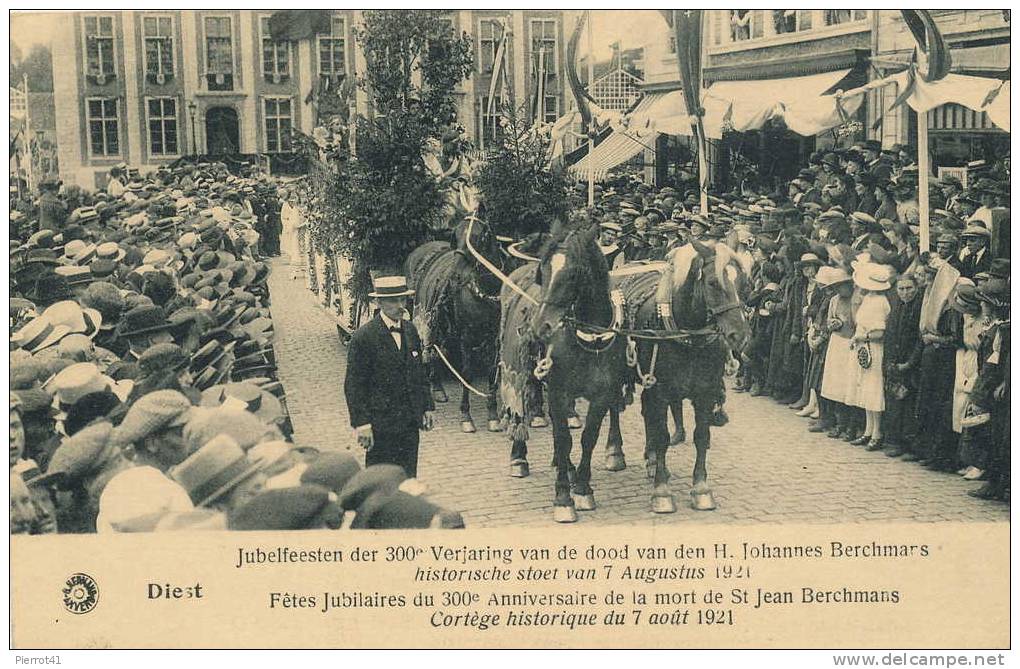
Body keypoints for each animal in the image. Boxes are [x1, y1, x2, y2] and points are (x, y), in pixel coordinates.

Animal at [495, 221, 628, 522]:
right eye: (543, 272)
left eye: (574, 272)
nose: (540, 326)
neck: (590, 339)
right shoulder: (557, 390)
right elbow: (564, 439)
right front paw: (563, 498)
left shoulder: (601, 394)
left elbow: (587, 438)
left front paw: (582, 488)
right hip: (518, 369)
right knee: (520, 406)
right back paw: (519, 456)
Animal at [607, 240, 754, 511]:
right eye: (713, 283)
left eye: (745, 284)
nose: (741, 336)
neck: (689, 338)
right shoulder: (660, 391)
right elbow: (663, 437)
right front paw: (662, 491)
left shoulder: (704, 393)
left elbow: (701, 436)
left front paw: (701, 489)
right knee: (613, 407)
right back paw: (615, 453)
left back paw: (651, 459)